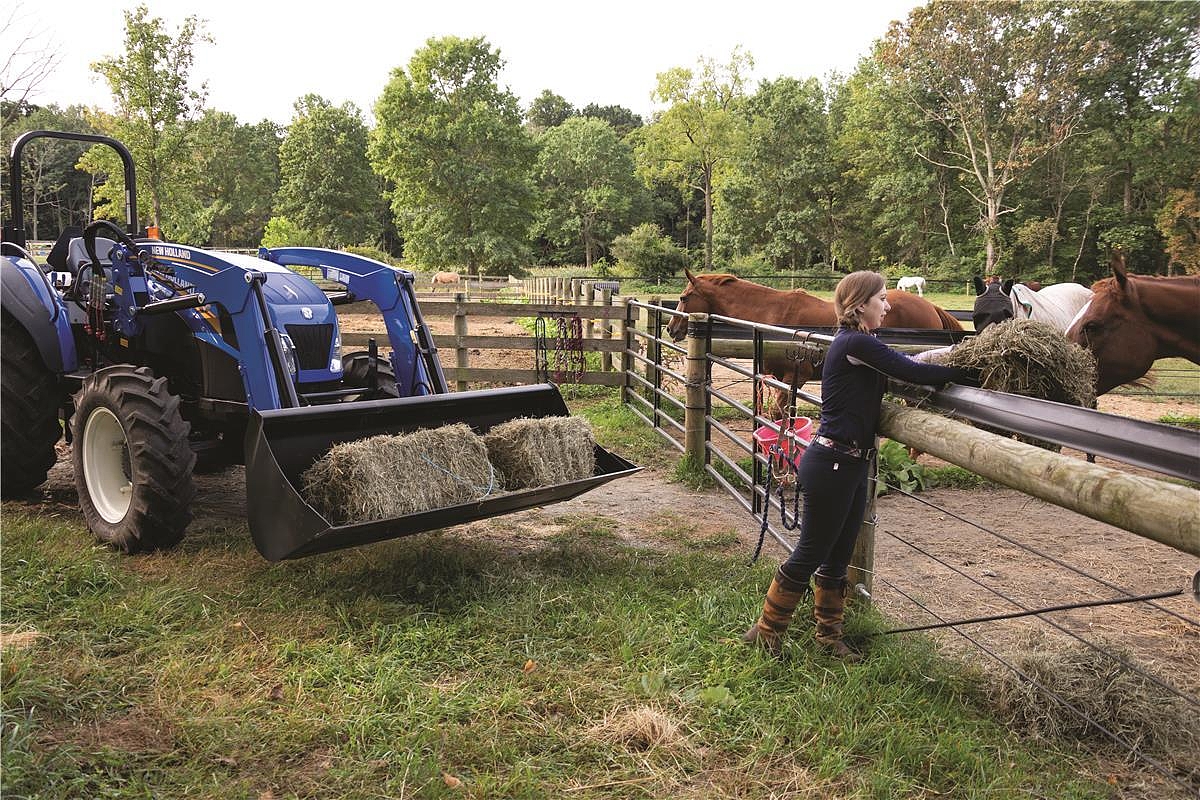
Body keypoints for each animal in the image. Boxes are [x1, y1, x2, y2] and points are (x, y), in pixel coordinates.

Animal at [666, 270, 963, 418]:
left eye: (683, 297)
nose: (671, 328)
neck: (772, 320)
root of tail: (931, 307)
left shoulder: (795, 378)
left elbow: (777, 413)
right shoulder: (775, 377)